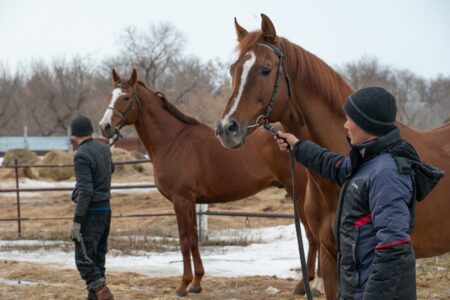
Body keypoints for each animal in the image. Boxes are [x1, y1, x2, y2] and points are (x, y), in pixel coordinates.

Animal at [100, 69, 322, 296]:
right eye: (109, 96)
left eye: (126, 97)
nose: (105, 127)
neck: (173, 141)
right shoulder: (190, 202)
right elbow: (194, 240)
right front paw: (196, 282)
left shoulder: (181, 200)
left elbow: (184, 240)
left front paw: (183, 285)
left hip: (300, 194)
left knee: (313, 235)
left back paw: (309, 284)